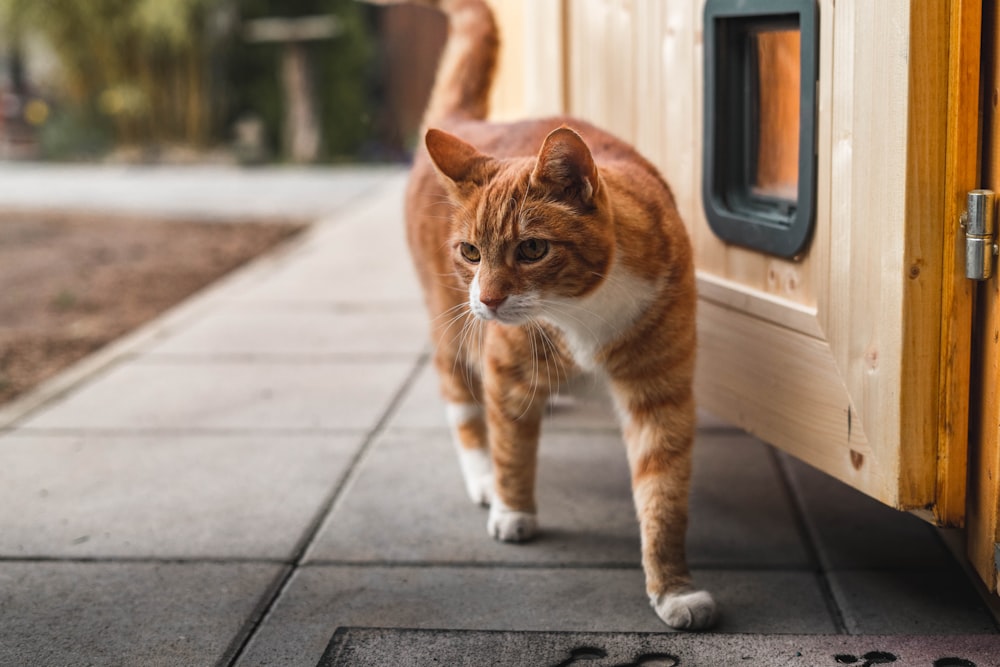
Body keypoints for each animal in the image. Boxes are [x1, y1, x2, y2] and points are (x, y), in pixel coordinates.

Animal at [394, 0, 716, 628]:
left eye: (532, 250)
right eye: (471, 252)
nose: (489, 300)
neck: (582, 313)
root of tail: (468, 124)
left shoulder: (660, 394)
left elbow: (663, 496)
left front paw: (674, 590)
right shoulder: (505, 367)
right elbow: (512, 446)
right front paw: (513, 509)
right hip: (450, 328)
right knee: (463, 406)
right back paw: (483, 478)